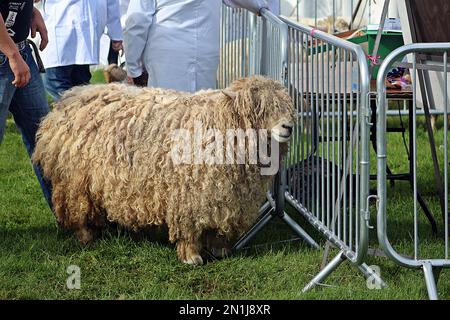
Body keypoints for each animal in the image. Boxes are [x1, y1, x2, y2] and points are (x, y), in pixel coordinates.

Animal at [33, 75, 298, 264]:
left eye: (287, 106)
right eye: (259, 107)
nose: (288, 127)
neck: (220, 124)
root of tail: (69, 98)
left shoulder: (227, 197)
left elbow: (219, 228)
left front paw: (220, 249)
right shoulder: (189, 195)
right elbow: (189, 228)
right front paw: (191, 256)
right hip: (74, 181)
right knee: (77, 212)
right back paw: (87, 237)